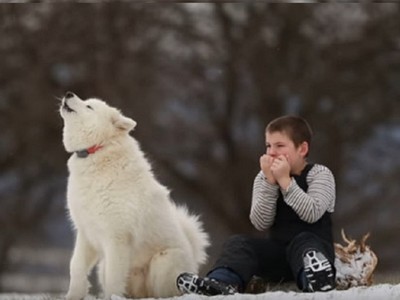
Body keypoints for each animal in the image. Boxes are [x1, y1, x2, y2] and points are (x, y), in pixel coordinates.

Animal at [60, 92, 209, 298]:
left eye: (89, 106)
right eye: (86, 101)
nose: (68, 94)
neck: (98, 150)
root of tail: (193, 259)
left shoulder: (117, 238)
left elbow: (114, 278)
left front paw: (111, 297)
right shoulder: (86, 234)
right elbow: (76, 267)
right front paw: (73, 296)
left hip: (162, 262)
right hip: (104, 267)